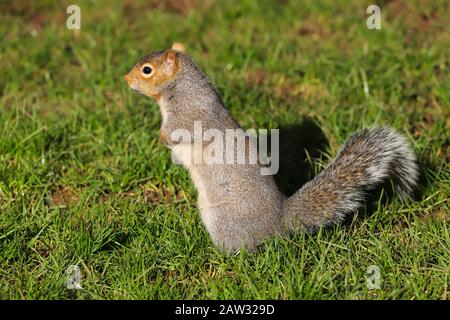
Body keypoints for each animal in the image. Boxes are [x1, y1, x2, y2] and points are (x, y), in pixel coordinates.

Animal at [124, 43, 418, 252]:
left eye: (147, 70)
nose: (126, 79)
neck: (182, 83)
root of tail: (280, 221)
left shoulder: (192, 112)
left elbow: (181, 129)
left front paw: (161, 136)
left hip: (222, 220)